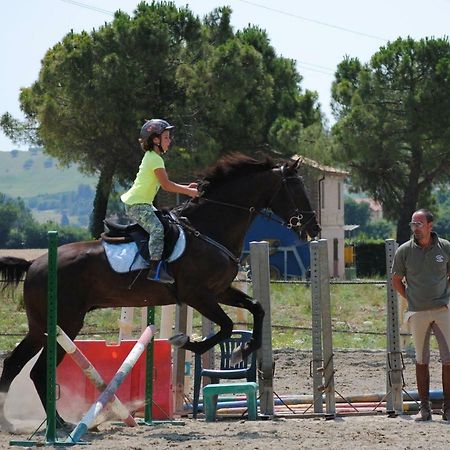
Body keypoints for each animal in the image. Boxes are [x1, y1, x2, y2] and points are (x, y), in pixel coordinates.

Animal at [0, 153, 320, 430]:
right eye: (295, 188)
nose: (313, 228)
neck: (210, 227)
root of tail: (34, 263)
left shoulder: (219, 291)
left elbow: (257, 308)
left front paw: (244, 350)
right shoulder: (197, 295)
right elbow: (227, 326)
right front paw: (186, 342)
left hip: (41, 327)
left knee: (16, 365)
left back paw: (19, 423)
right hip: (63, 324)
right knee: (38, 370)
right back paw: (59, 424)